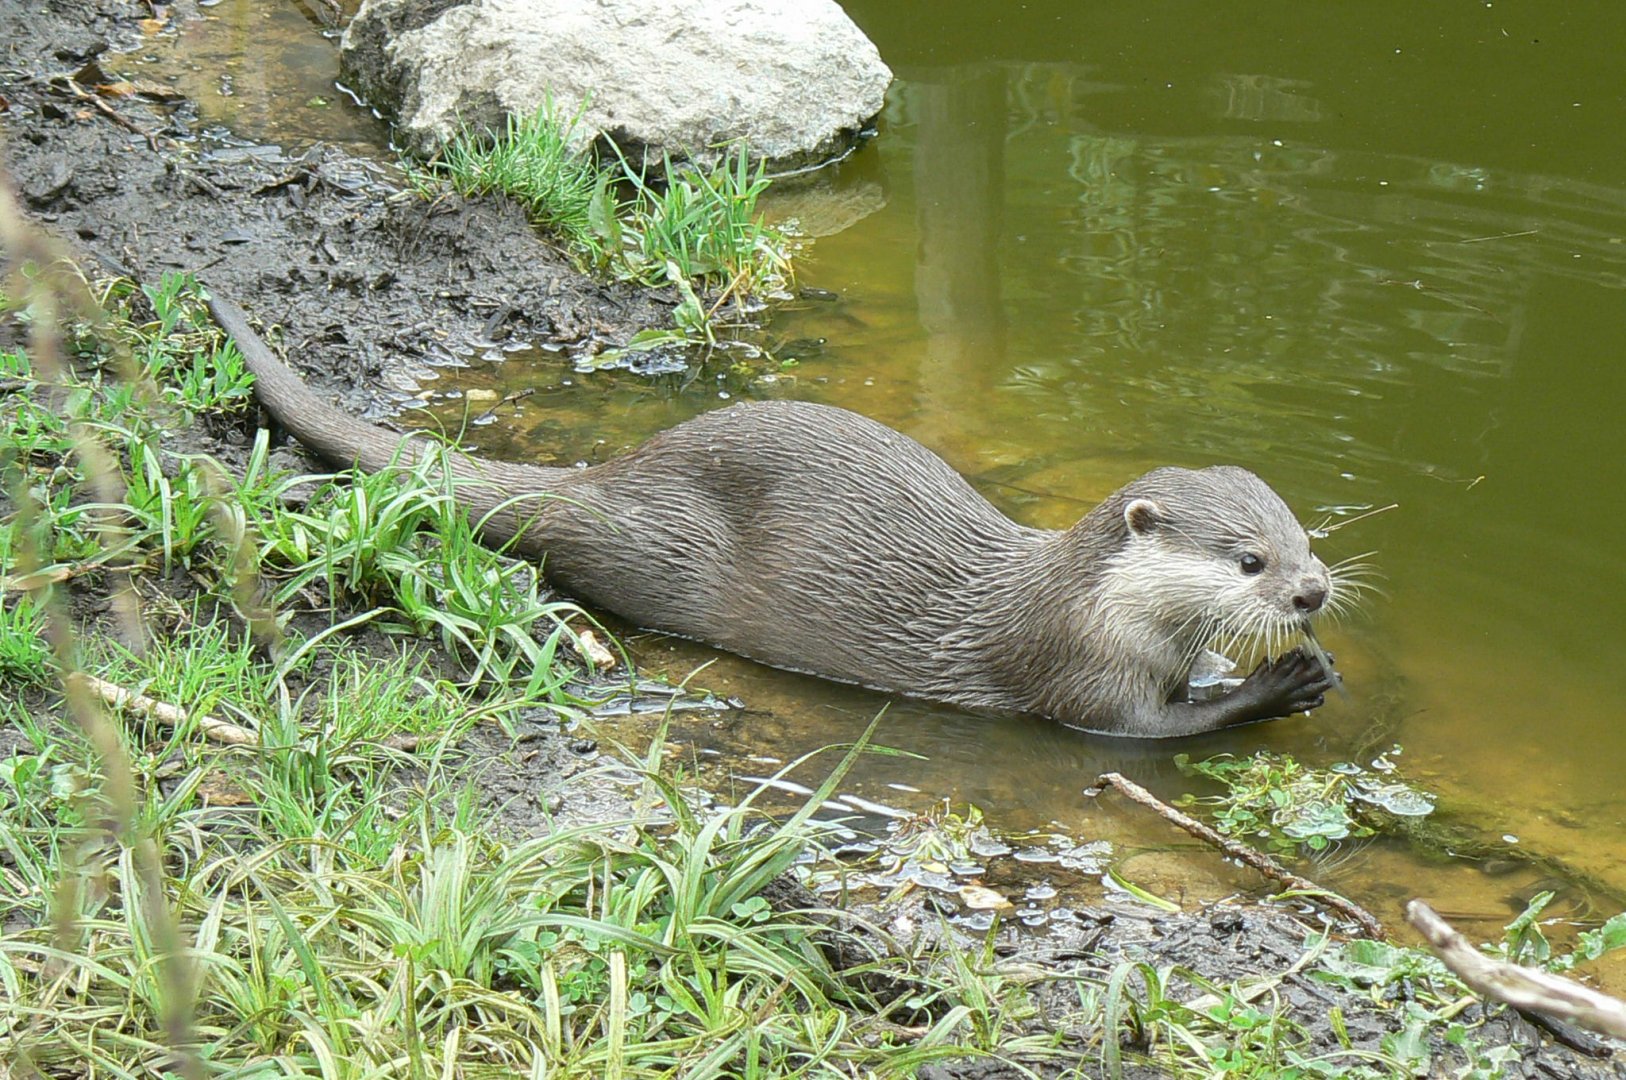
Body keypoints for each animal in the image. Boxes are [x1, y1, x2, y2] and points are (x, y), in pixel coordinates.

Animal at [208, 295, 1342, 738]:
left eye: (1303, 539)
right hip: (653, 549)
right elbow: (1159, 730)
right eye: (1249, 560)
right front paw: (1284, 680)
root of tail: (614, 474)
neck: (1093, 604)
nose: (1315, 592)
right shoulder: (1078, 673)